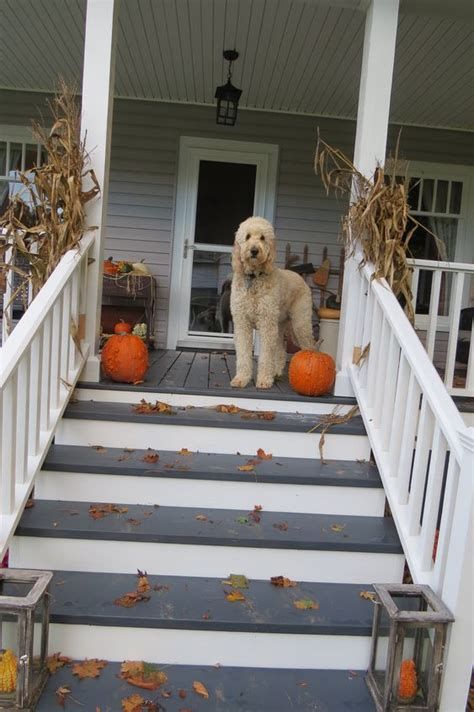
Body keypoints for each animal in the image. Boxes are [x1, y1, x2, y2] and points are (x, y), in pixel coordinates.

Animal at [231, 217, 318, 390]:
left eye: (263, 238)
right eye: (247, 236)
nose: (254, 251)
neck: (254, 278)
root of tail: (299, 276)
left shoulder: (266, 324)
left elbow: (266, 356)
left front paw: (264, 380)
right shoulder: (242, 323)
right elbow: (243, 354)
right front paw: (241, 378)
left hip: (300, 323)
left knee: (310, 346)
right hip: (279, 325)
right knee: (281, 350)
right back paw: (276, 372)